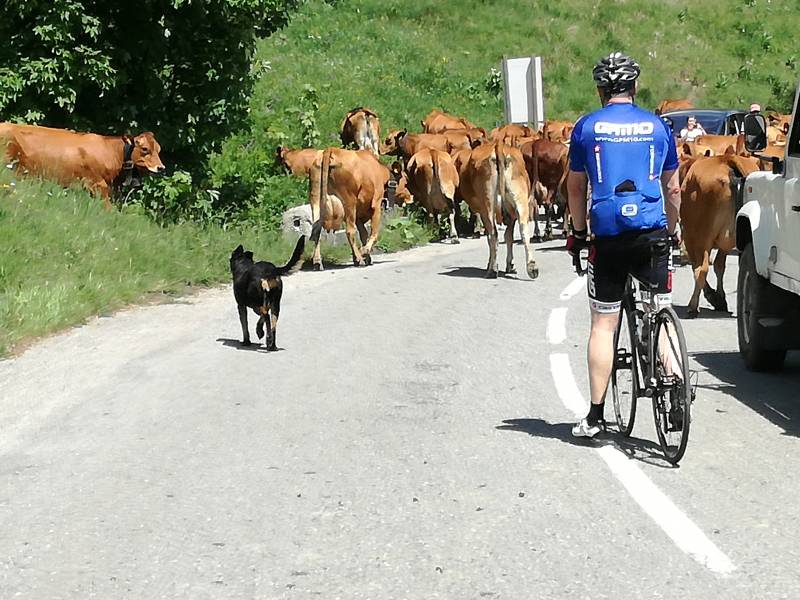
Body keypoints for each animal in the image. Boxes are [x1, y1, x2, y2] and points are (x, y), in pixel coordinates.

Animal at [456, 143, 539, 278]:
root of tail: (498, 145)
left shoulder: (483, 211)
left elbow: (492, 239)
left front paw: (492, 264)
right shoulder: (511, 214)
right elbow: (509, 236)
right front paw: (510, 265)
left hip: (487, 204)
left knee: (493, 235)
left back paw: (492, 270)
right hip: (520, 201)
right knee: (524, 230)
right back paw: (532, 267)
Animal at [680, 150, 760, 317]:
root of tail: (727, 159)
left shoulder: (690, 237)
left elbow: (695, 264)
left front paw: (713, 296)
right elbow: (719, 266)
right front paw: (720, 298)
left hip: (700, 236)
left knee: (701, 269)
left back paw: (693, 306)